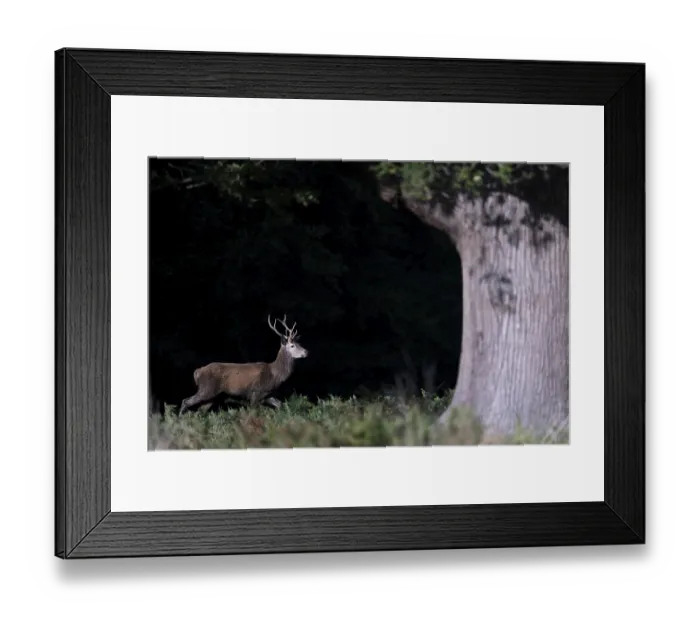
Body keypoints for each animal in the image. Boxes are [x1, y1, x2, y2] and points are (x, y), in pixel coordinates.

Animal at [179, 315, 308, 414]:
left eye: (299, 343)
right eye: (292, 345)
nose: (306, 352)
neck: (274, 374)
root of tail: (197, 372)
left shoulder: (267, 394)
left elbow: (280, 404)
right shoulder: (255, 392)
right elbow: (254, 412)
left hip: (212, 395)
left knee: (201, 410)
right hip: (206, 389)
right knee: (186, 401)